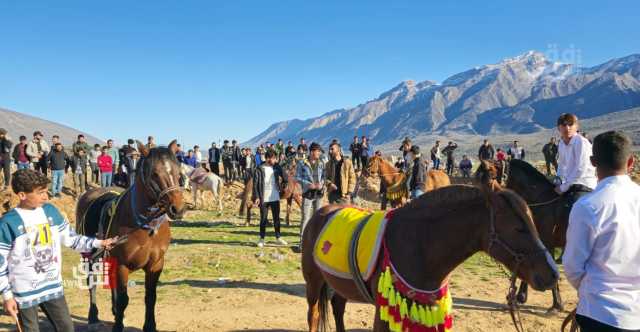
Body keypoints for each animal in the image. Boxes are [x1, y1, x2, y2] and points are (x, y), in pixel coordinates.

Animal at [76, 141, 185, 332]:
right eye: (154, 173)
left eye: (178, 171)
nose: (177, 208)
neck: (146, 226)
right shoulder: (122, 265)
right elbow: (123, 299)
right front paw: (118, 325)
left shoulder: (156, 264)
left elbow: (150, 297)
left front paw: (149, 326)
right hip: (89, 256)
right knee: (92, 283)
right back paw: (93, 315)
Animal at [302, 180, 556, 330]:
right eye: (518, 228)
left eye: (532, 222)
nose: (552, 273)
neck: (418, 245)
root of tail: (320, 213)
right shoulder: (385, 312)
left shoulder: (426, 308)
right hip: (313, 282)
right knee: (313, 314)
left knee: (337, 306)